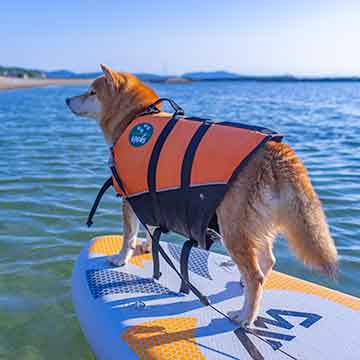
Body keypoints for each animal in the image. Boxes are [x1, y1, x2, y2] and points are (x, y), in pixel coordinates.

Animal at [67, 64, 338, 326]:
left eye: (91, 92)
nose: (67, 99)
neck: (137, 117)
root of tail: (276, 149)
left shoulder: (128, 195)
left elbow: (128, 235)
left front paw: (121, 258)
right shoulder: (146, 194)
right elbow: (148, 226)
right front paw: (146, 245)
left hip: (233, 229)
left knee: (256, 276)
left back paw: (245, 316)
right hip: (256, 224)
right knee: (268, 261)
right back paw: (244, 288)